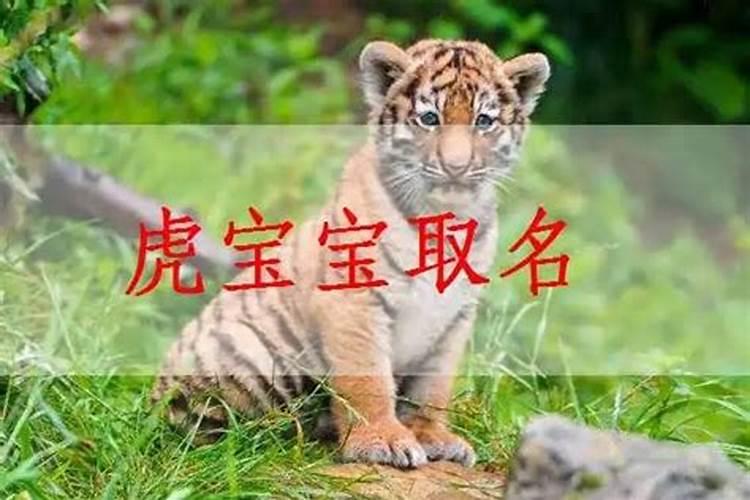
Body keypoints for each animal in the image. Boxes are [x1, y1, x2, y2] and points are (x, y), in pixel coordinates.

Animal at [152, 39, 550, 469]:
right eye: (429, 118)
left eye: (483, 121)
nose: (457, 167)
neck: (447, 220)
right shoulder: (356, 302)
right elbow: (367, 378)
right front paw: (381, 441)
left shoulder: (454, 316)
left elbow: (433, 388)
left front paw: (432, 437)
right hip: (251, 352)